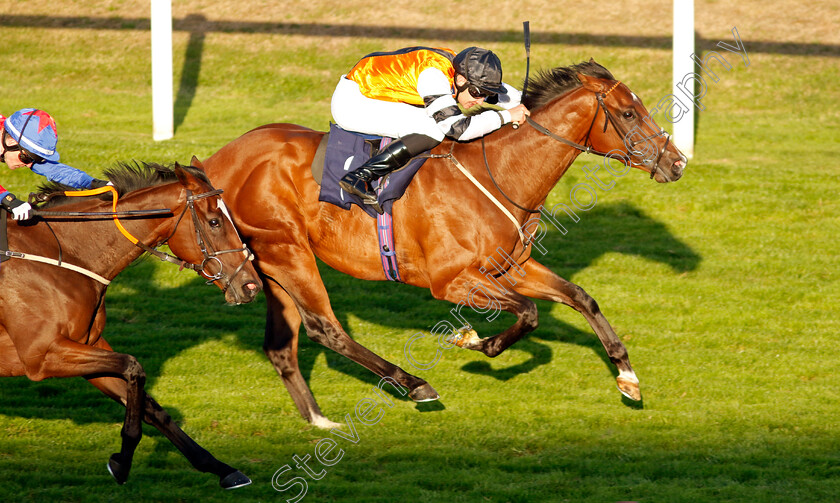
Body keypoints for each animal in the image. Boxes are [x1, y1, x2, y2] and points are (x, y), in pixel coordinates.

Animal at [0, 160, 262, 488]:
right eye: (215, 222)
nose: (252, 286)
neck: (64, 254)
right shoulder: (43, 355)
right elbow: (133, 367)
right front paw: (122, 461)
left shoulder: (84, 346)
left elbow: (151, 407)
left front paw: (220, 467)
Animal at [203, 60, 688, 430]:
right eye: (628, 114)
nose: (678, 163)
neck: (500, 173)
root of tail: (218, 160)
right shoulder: (451, 281)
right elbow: (528, 314)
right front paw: (473, 341)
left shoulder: (511, 268)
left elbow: (580, 298)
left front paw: (627, 375)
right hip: (288, 252)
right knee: (325, 328)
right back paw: (415, 385)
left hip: (271, 266)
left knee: (281, 346)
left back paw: (319, 419)